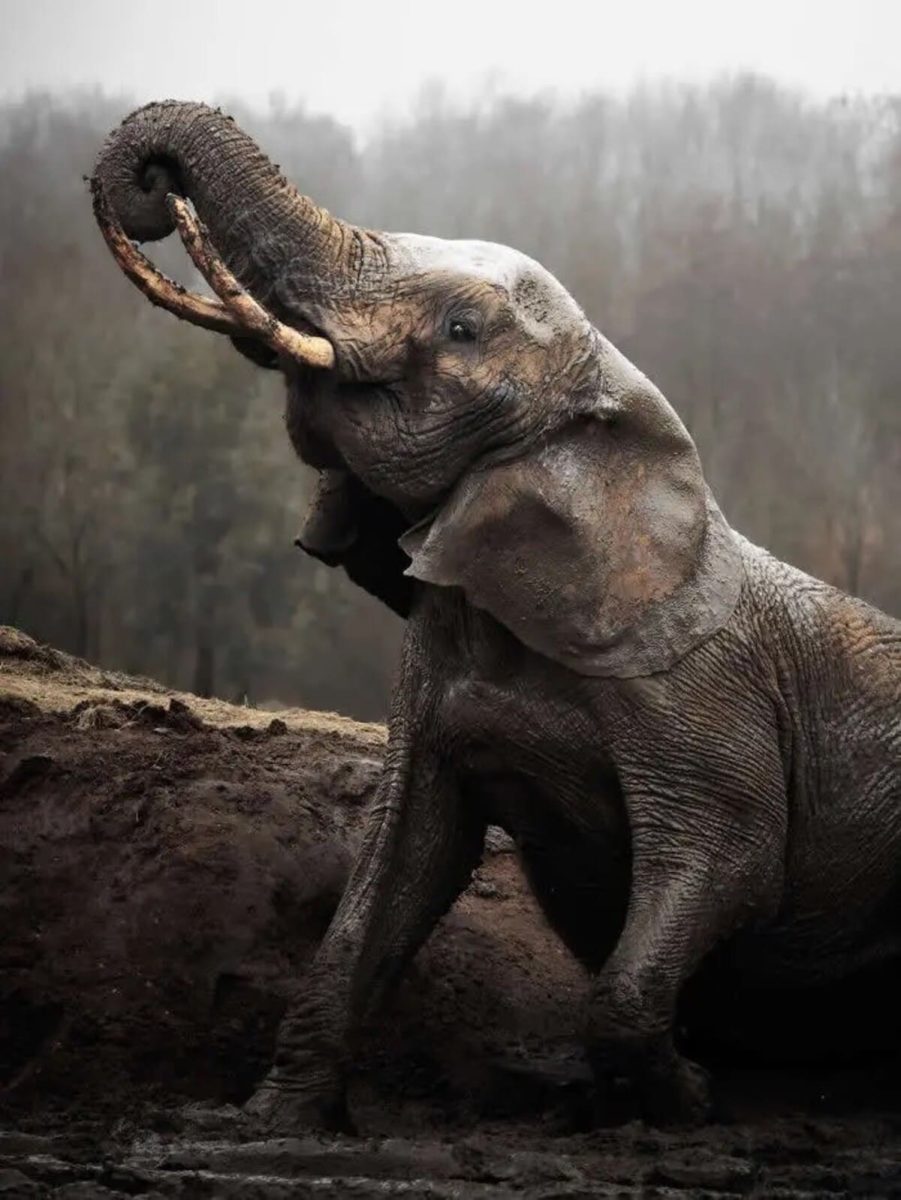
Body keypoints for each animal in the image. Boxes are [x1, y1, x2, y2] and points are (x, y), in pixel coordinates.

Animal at [92, 101, 901, 1130]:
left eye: (462, 327)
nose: (153, 187)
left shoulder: (696, 693)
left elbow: (730, 854)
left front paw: (685, 1098)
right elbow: (401, 861)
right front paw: (270, 1123)